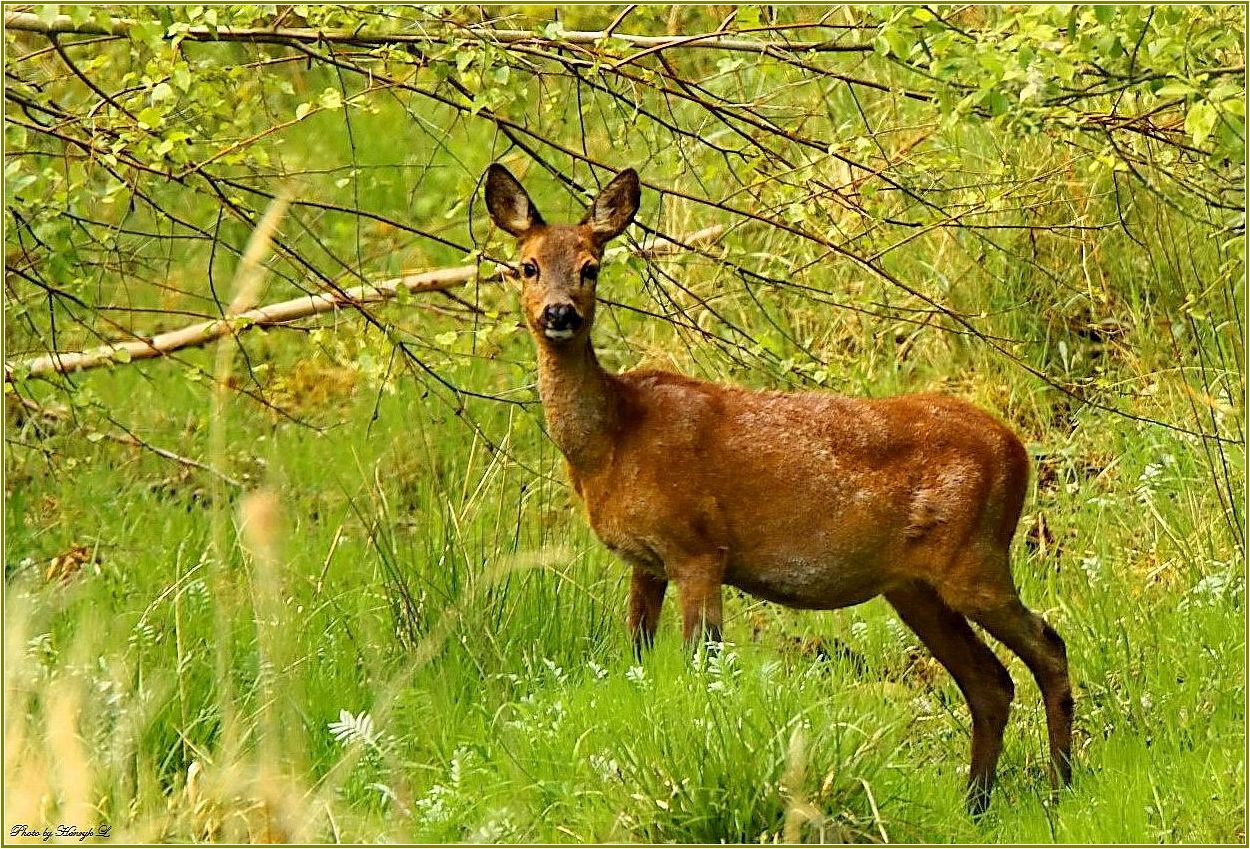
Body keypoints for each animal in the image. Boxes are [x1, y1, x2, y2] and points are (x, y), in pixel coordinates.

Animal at [483, 163, 1073, 815]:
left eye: (592, 266)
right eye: (527, 266)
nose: (559, 314)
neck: (613, 440)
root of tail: (1018, 451)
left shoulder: (698, 548)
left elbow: (702, 666)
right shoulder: (645, 562)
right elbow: (636, 655)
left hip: (975, 558)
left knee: (1048, 647)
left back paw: (1061, 786)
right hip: (915, 587)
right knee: (990, 680)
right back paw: (976, 804)